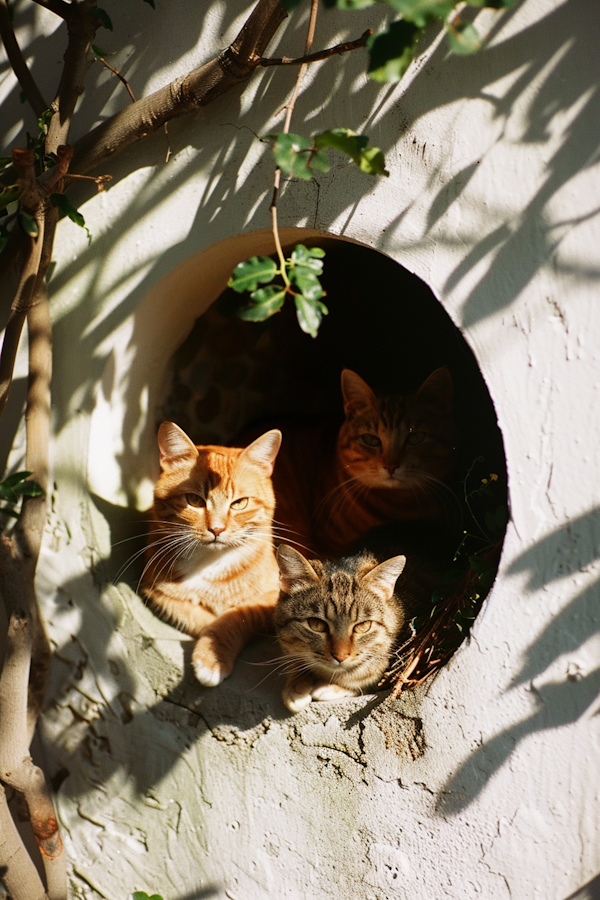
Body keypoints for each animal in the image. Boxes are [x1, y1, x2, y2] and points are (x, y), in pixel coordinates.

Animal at [141, 422, 282, 684]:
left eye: (239, 503)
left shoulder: (275, 594)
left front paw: (212, 654)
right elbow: (194, 616)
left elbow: (237, 616)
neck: (211, 563)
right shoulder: (156, 592)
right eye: (194, 500)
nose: (217, 529)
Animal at [274, 524, 448, 712]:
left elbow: (368, 677)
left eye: (363, 626)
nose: (340, 656)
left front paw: (330, 687)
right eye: (316, 624)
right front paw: (296, 683)